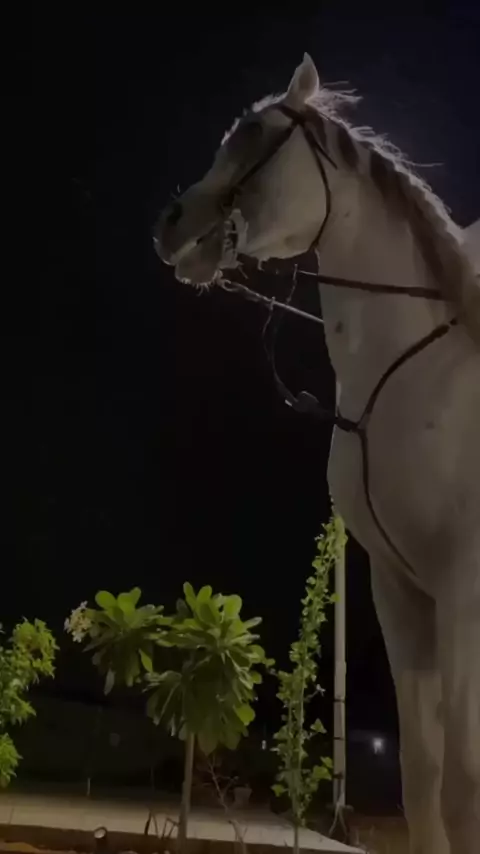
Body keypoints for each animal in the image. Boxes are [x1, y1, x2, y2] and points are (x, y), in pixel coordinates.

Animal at [153, 54, 480, 853]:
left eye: (252, 133)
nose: (171, 225)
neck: (417, 373)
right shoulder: (401, 590)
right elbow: (423, 782)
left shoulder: (460, 588)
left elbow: (462, 786)